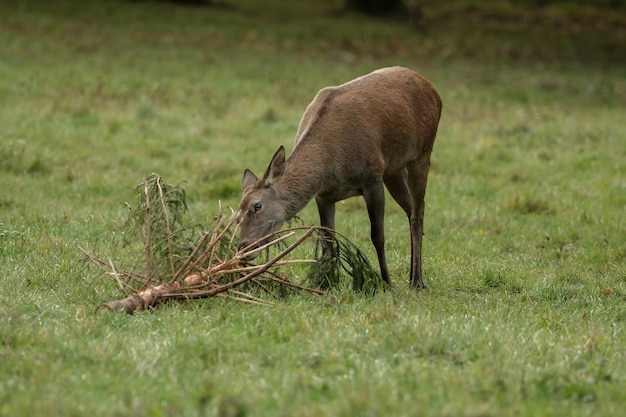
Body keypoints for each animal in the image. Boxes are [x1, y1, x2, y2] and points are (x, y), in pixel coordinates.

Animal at [234, 67, 438, 290]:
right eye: (237, 216)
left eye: (257, 206)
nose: (243, 248)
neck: (330, 166)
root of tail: (433, 89)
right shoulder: (323, 195)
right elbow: (328, 239)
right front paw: (326, 282)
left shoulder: (372, 178)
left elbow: (378, 236)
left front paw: (386, 283)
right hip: (394, 169)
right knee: (410, 209)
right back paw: (413, 276)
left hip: (422, 152)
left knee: (418, 213)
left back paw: (417, 282)